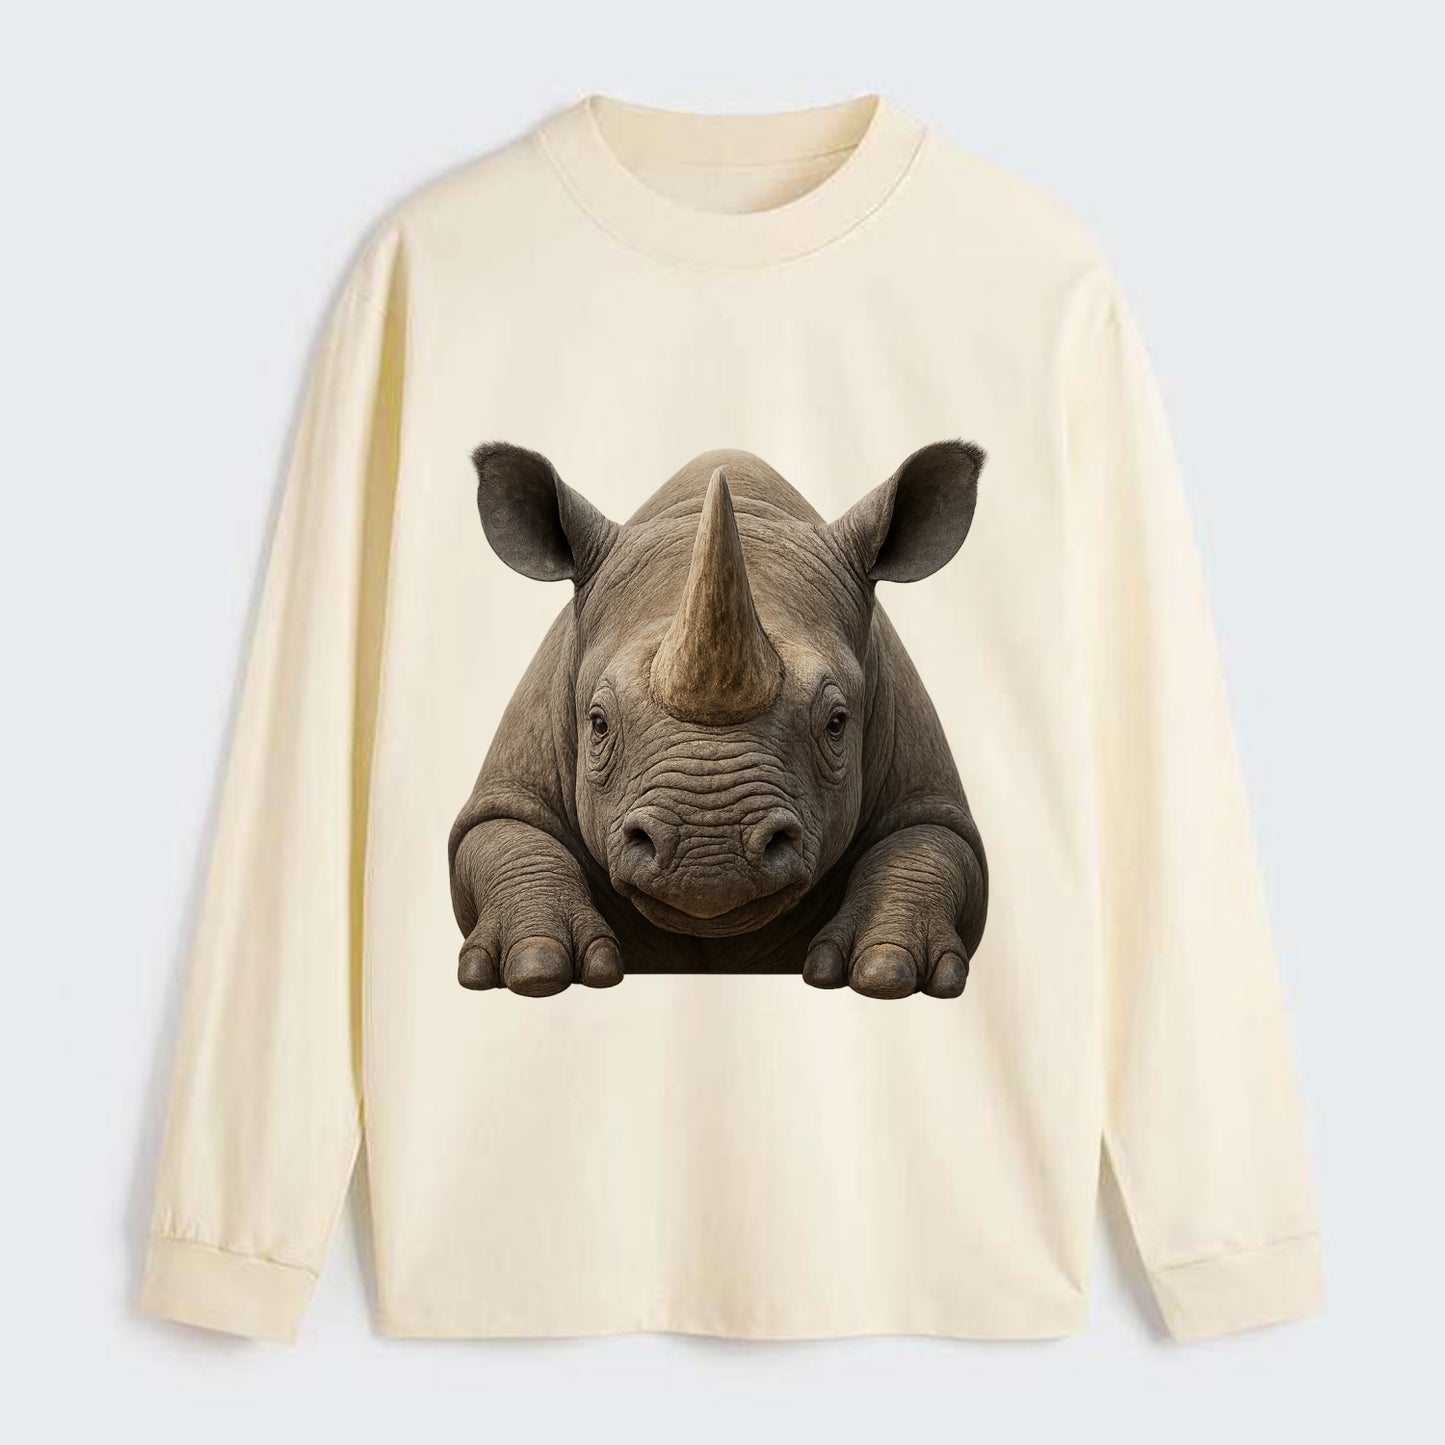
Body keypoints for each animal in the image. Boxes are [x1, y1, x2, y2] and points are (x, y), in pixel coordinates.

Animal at [448, 441, 988, 1000]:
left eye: (837, 723)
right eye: (597, 724)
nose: (709, 855)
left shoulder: (923, 782)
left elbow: (928, 843)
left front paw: (887, 971)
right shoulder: (513, 780)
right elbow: (505, 833)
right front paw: (535, 967)